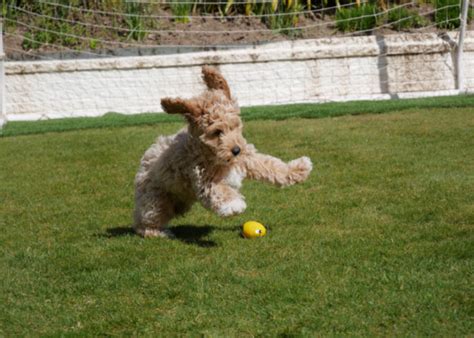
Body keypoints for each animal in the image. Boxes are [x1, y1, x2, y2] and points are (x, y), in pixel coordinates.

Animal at [133, 66, 312, 238]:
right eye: (217, 132)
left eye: (235, 126)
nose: (237, 150)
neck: (216, 156)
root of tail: (146, 159)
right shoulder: (203, 177)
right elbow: (219, 191)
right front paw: (234, 204)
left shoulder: (248, 158)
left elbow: (272, 165)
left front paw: (299, 169)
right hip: (156, 199)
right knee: (148, 219)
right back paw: (156, 232)